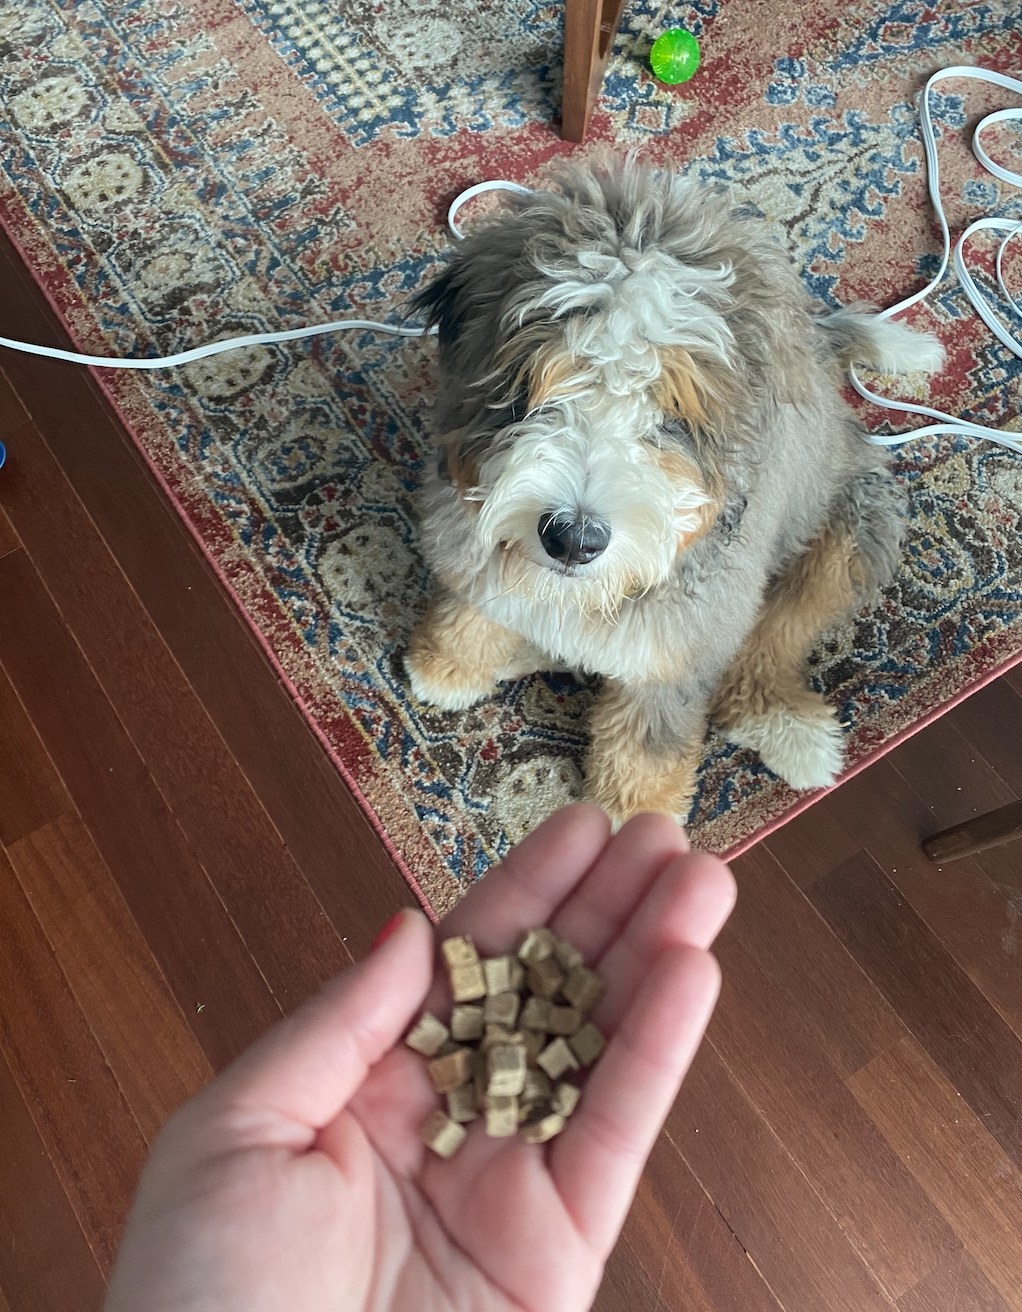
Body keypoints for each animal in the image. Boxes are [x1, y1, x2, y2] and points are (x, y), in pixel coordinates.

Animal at [401, 158, 944, 823]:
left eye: (671, 418)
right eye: (545, 386)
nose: (573, 539)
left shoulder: (684, 639)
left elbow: (647, 742)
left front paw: (627, 819)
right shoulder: (466, 522)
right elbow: (475, 602)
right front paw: (448, 663)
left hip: (849, 531)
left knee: (777, 636)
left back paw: (788, 731)